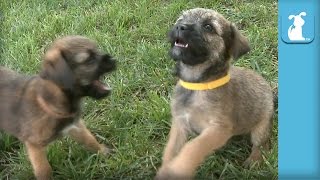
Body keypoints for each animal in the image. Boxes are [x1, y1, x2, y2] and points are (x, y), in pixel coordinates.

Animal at [0, 35, 116, 180]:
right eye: (89, 60)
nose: (114, 60)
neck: (49, 101)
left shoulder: (75, 126)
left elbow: (90, 140)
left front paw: (104, 153)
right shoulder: (34, 146)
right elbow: (44, 170)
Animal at [156, 8, 274, 179]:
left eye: (208, 27)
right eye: (180, 20)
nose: (180, 27)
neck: (197, 85)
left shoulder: (219, 128)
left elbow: (194, 147)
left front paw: (179, 167)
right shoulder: (180, 124)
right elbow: (171, 150)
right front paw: (166, 170)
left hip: (261, 127)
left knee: (262, 144)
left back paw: (254, 160)